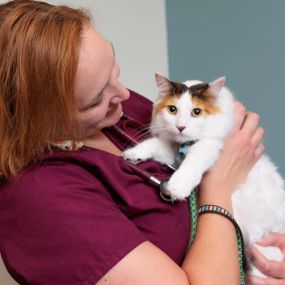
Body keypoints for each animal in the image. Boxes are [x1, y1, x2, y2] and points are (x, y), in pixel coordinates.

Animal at [123, 72, 284, 276]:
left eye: (197, 112)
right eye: (172, 110)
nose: (181, 127)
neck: (183, 146)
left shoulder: (210, 144)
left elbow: (193, 161)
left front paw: (177, 186)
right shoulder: (171, 152)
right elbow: (155, 144)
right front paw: (134, 153)